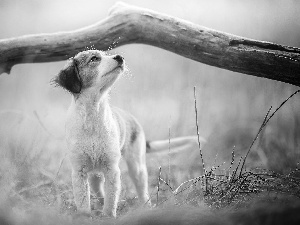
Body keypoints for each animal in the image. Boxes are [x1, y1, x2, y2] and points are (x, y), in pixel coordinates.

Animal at [54, 50, 150, 217]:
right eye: (94, 59)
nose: (119, 57)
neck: (93, 116)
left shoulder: (112, 169)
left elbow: (112, 198)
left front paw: (108, 216)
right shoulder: (79, 171)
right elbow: (83, 200)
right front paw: (86, 216)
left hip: (137, 165)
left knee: (142, 188)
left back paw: (148, 207)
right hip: (94, 176)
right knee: (99, 191)